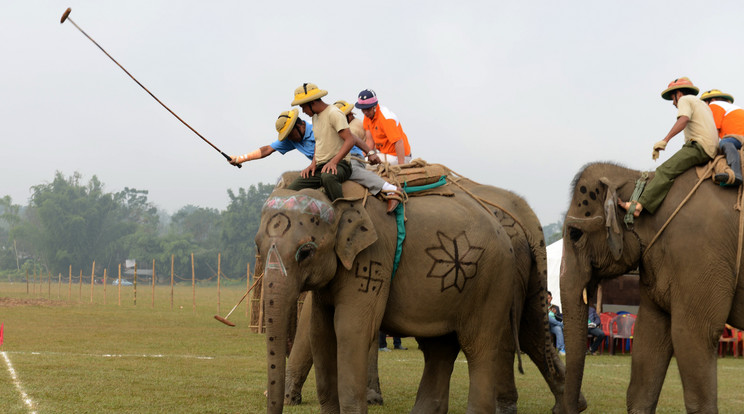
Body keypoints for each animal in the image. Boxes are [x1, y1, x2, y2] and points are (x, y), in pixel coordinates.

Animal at [258, 169, 580, 414]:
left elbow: (351, 329)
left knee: (482, 347)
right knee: (449, 347)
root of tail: (528, 219)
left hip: (493, 279)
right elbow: (321, 332)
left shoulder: (372, 261)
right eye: (258, 247)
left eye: (305, 252)